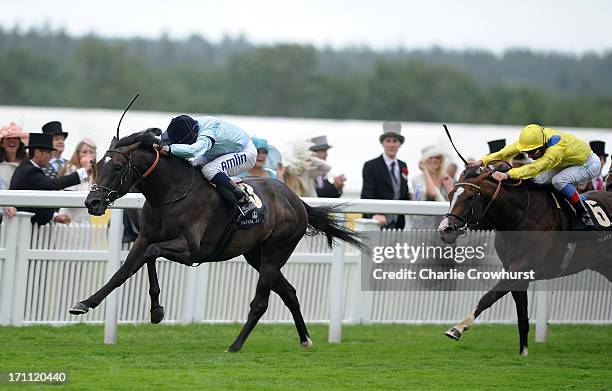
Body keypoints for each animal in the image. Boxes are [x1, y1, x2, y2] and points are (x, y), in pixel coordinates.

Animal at [68, 130, 364, 354]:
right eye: (96, 165)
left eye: (117, 167)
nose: (92, 202)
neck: (171, 193)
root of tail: (296, 200)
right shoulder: (144, 238)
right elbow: (123, 272)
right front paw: (85, 303)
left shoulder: (189, 249)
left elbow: (151, 254)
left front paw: (157, 310)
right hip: (255, 255)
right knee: (289, 292)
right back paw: (305, 339)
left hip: (275, 252)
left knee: (261, 303)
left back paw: (235, 345)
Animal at [440, 165, 612, 356]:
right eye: (450, 194)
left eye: (470, 197)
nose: (445, 230)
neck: (520, 217)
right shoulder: (517, 274)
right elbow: (522, 318)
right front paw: (523, 354)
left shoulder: (522, 267)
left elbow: (488, 297)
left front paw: (457, 328)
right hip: (604, 265)